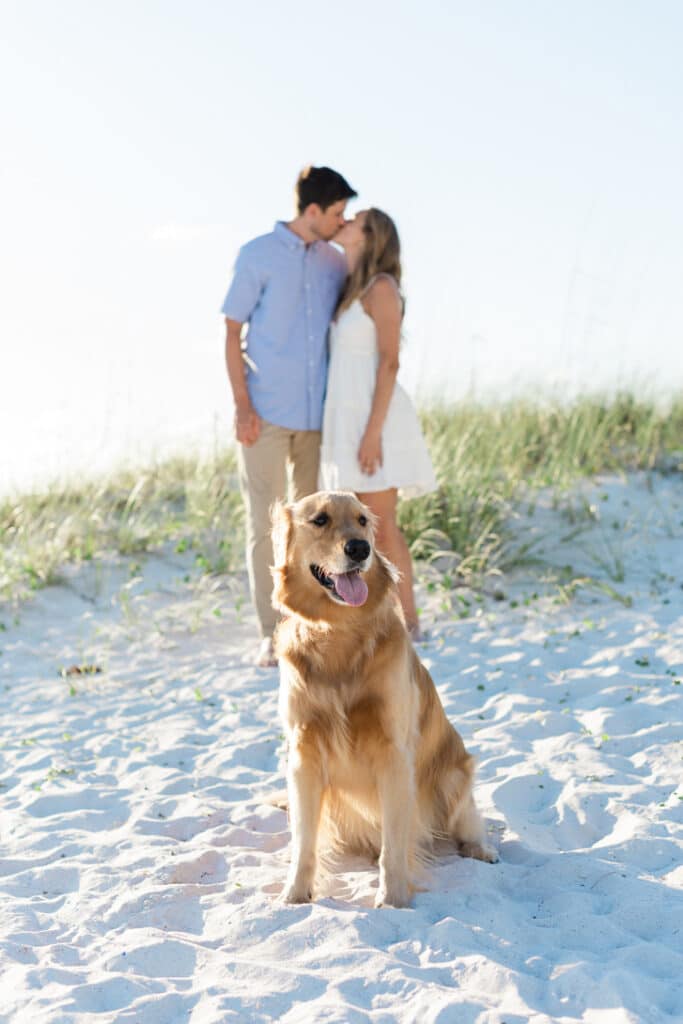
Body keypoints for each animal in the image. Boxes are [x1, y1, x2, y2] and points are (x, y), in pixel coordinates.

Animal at [270, 491, 497, 909]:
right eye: (321, 519)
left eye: (362, 520)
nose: (361, 549)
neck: (338, 630)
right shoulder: (304, 752)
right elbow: (304, 842)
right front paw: (294, 894)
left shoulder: (394, 753)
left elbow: (394, 846)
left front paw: (392, 900)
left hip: (454, 777)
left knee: (467, 823)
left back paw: (481, 849)